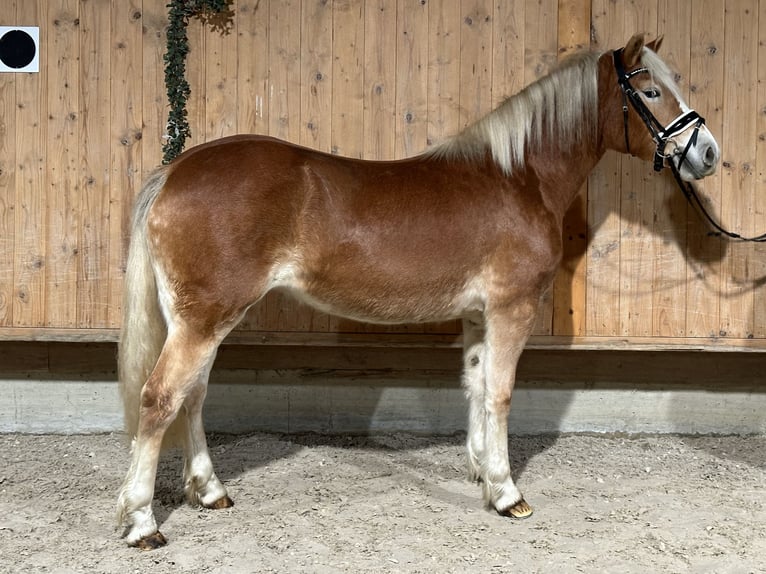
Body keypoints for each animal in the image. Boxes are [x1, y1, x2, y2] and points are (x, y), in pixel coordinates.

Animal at [115, 35, 720, 548]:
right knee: (160, 398)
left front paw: (481, 471)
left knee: (192, 397)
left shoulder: (479, 315)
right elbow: (501, 394)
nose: (708, 152)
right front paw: (507, 493)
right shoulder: (512, 307)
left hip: (197, 318)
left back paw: (209, 491)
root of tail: (175, 171)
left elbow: (476, 386)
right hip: (205, 318)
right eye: (651, 91)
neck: (519, 178)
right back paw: (143, 522)